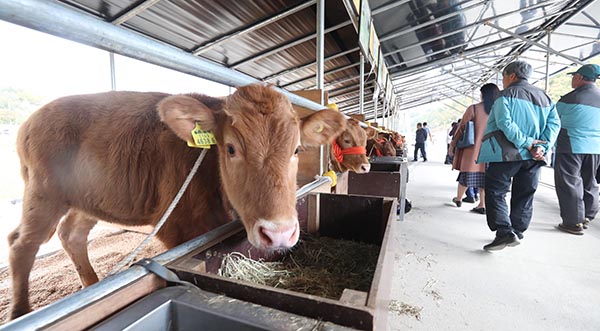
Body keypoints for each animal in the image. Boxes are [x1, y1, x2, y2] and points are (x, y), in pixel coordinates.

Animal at [5, 83, 346, 320]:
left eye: (297, 149)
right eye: (231, 148)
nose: (278, 234)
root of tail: (30, 120)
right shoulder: (178, 228)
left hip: (88, 199)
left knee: (71, 234)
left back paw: (92, 284)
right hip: (43, 192)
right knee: (22, 243)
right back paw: (20, 312)